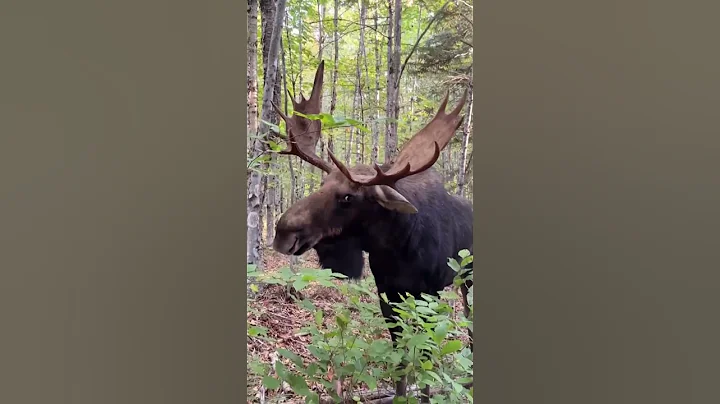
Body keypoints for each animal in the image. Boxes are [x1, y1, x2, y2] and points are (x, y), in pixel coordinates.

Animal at [270, 60, 473, 402]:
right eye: (322, 183)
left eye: (347, 197)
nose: (282, 231)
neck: (399, 248)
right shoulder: (388, 294)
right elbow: (402, 356)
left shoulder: (429, 293)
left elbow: (426, 354)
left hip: (468, 280)